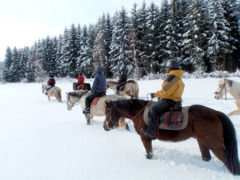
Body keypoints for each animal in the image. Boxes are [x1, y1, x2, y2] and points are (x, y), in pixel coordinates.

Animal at [103, 99, 240, 175]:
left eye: (107, 111)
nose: (105, 126)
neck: (140, 113)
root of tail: (216, 113)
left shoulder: (145, 138)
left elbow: (149, 153)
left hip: (213, 143)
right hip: (202, 141)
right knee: (207, 157)